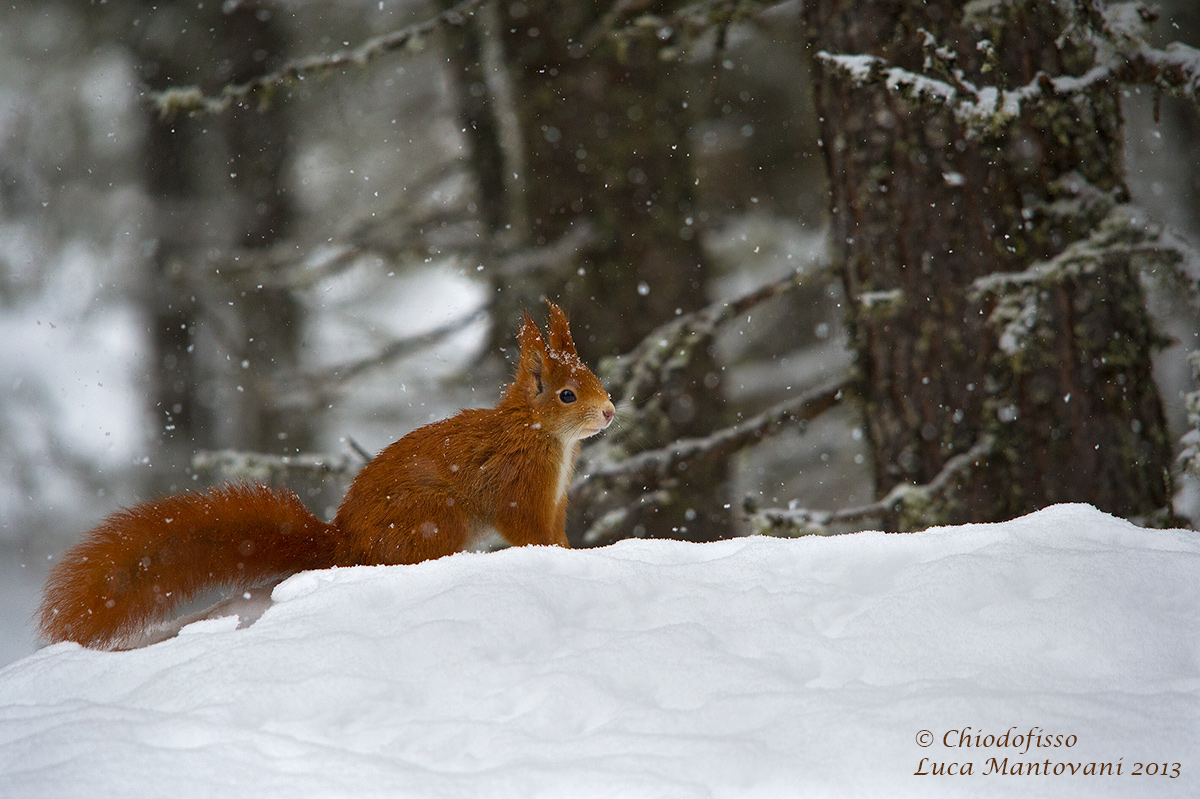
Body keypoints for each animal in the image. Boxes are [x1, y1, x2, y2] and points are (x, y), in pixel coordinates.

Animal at [37, 301, 615, 649]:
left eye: (594, 377)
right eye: (567, 394)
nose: (610, 411)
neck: (539, 434)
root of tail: (346, 543)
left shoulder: (555, 499)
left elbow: (555, 533)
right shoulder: (521, 488)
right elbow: (529, 533)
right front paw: (562, 557)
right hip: (434, 519)